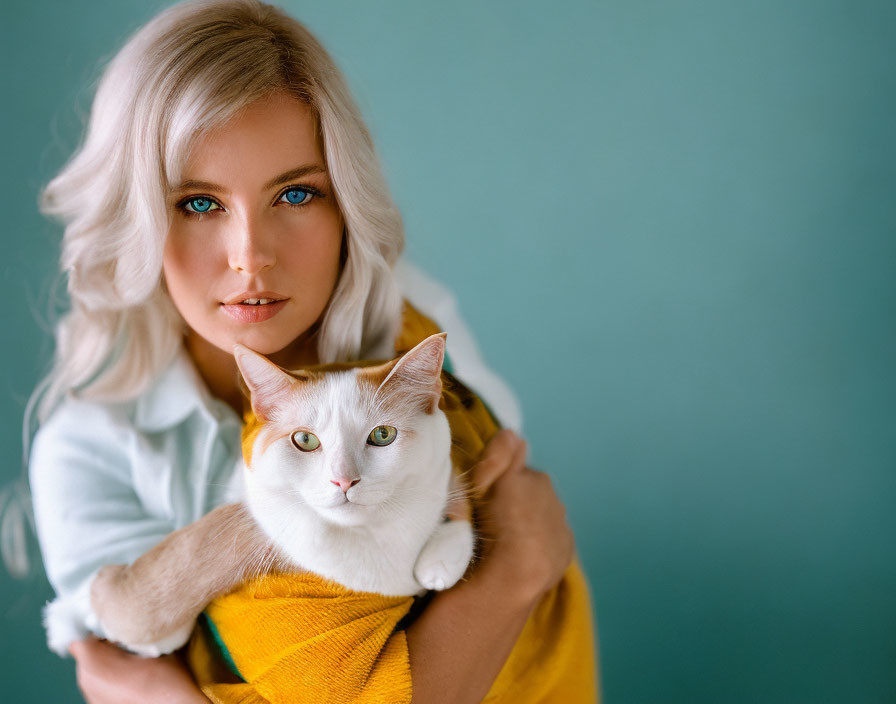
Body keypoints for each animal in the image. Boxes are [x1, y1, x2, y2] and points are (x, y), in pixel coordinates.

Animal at [89, 332, 490, 656]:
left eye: (382, 435)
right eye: (305, 440)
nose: (344, 481)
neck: (368, 540)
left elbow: (458, 490)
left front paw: (441, 559)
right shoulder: (254, 513)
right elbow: (200, 549)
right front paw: (120, 607)